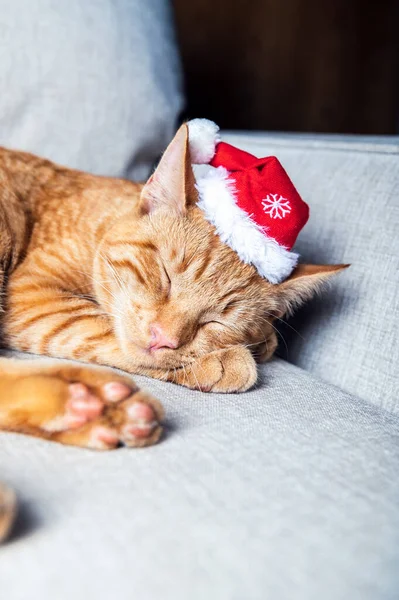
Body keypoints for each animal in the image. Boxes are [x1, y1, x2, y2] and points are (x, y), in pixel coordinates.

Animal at [0, 123, 346, 450]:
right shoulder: (32, 294)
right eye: (166, 276)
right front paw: (222, 361)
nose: (162, 339)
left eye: (215, 322)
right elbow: (94, 324)